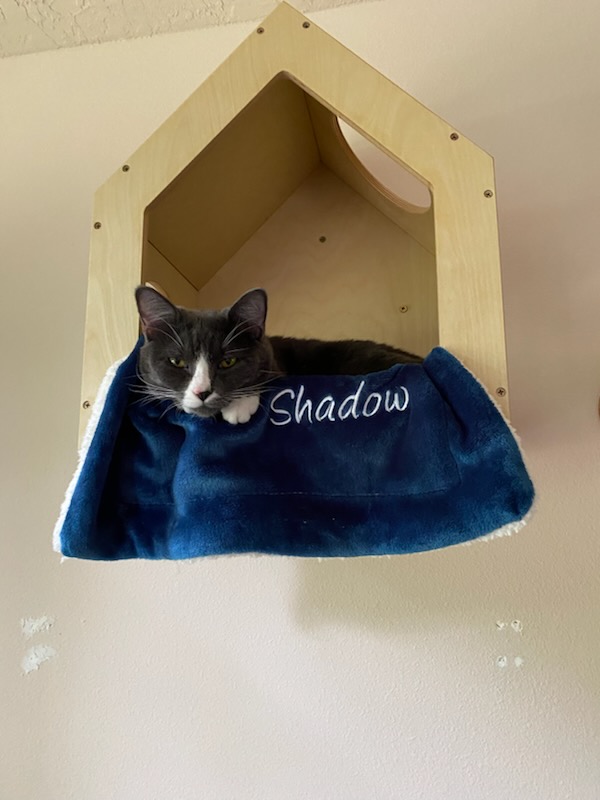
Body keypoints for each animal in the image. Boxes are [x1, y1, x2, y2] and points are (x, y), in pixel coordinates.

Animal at [135, 286, 422, 425]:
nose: (202, 392)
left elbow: (270, 373)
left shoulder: (278, 361)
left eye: (228, 361)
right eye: (177, 361)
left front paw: (239, 407)